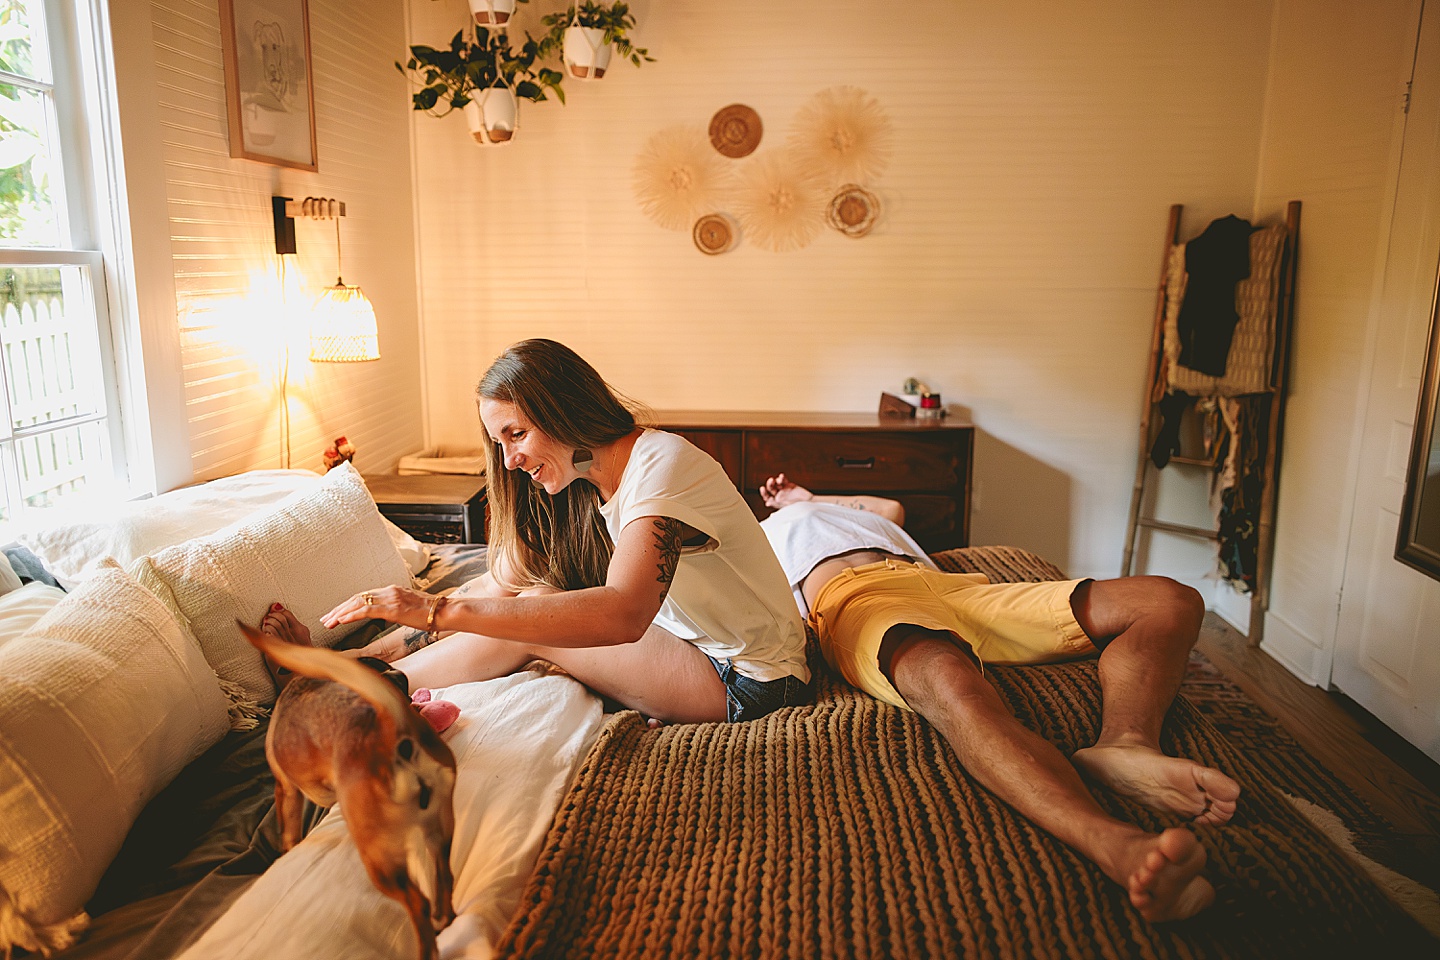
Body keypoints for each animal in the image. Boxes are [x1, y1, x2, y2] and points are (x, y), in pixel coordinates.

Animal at [240, 624, 455, 960]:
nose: (404, 686)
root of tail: (387, 727)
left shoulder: (286, 789)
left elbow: (289, 829)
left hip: (381, 863)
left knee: (417, 903)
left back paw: (427, 947)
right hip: (439, 829)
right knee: (445, 877)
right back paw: (444, 919)